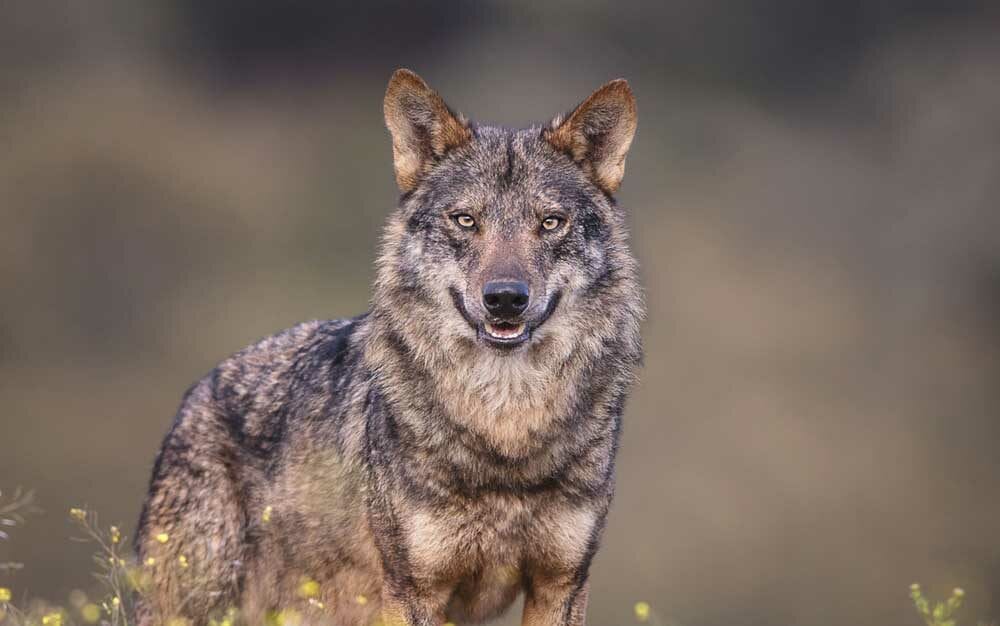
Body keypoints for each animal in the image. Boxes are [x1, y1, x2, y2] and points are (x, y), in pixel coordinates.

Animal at [135, 69, 643, 626]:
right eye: (465, 220)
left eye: (550, 222)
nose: (505, 298)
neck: (504, 430)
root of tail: (196, 393)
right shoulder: (414, 588)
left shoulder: (561, 583)